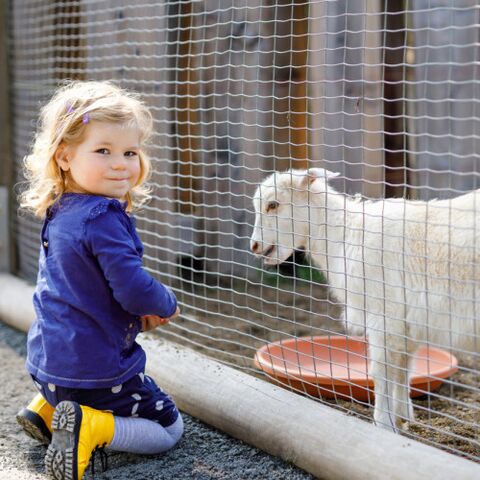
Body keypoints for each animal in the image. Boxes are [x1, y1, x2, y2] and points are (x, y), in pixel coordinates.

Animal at [251, 169, 480, 432]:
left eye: (273, 205)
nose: (254, 245)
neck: (346, 235)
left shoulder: (384, 316)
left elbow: (381, 371)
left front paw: (384, 424)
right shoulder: (406, 324)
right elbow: (404, 368)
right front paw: (404, 417)